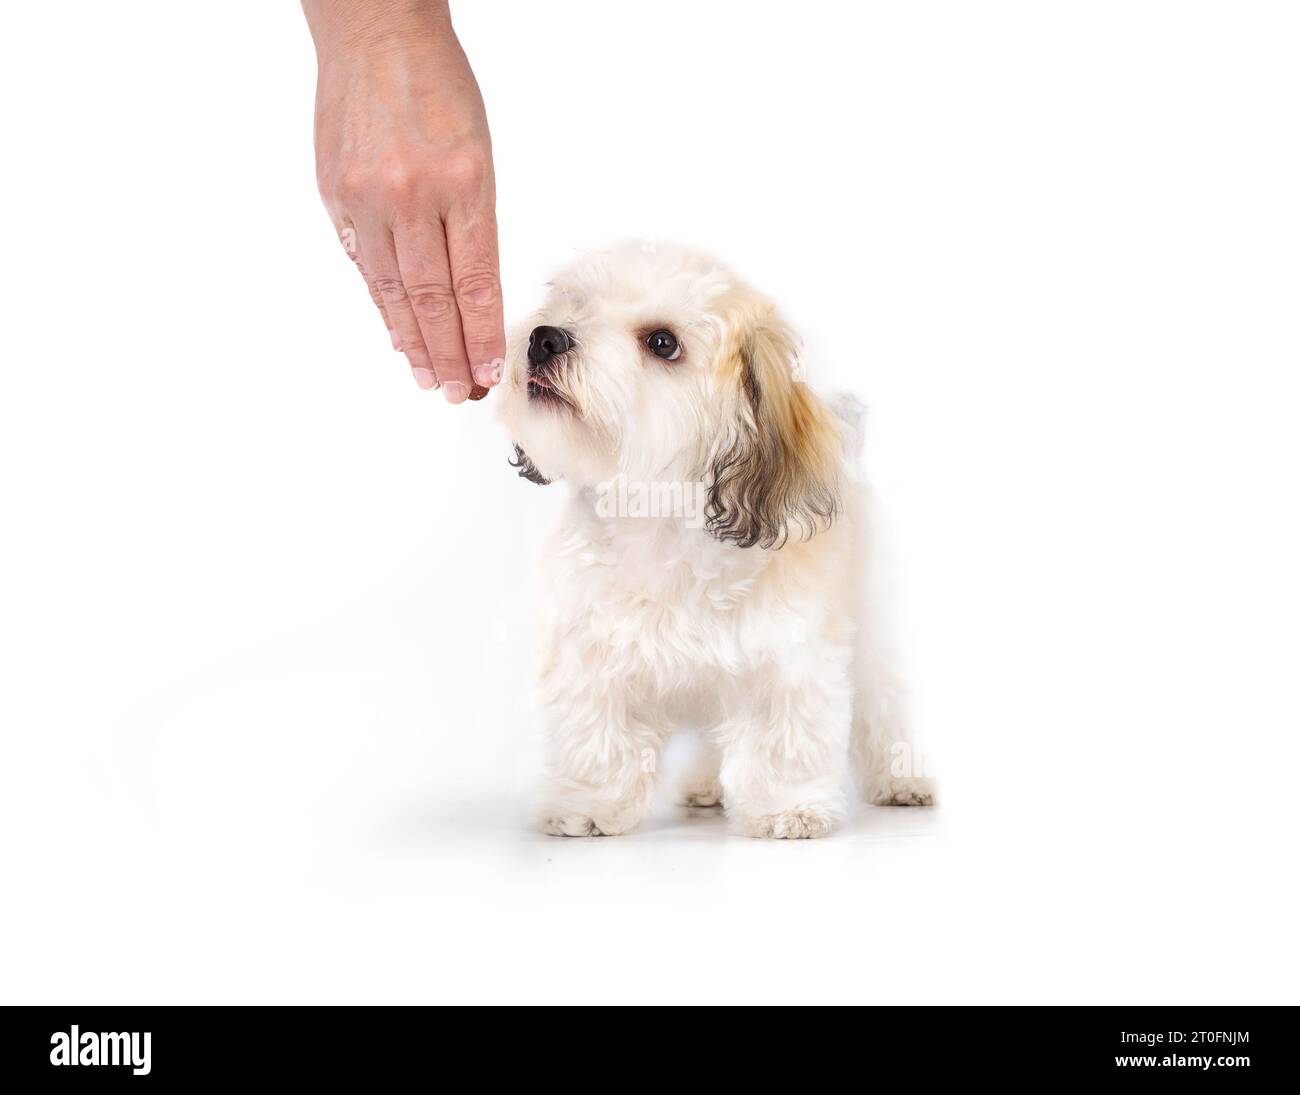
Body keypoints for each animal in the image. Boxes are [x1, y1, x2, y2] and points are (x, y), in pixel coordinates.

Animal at [496, 240, 935, 837]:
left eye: (663, 343)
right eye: (574, 305)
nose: (545, 338)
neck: (660, 529)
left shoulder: (787, 658)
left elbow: (782, 740)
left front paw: (787, 808)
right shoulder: (592, 656)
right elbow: (597, 741)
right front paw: (588, 807)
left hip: (872, 631)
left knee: (883, 706)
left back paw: (900, 779)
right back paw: (705, 786)